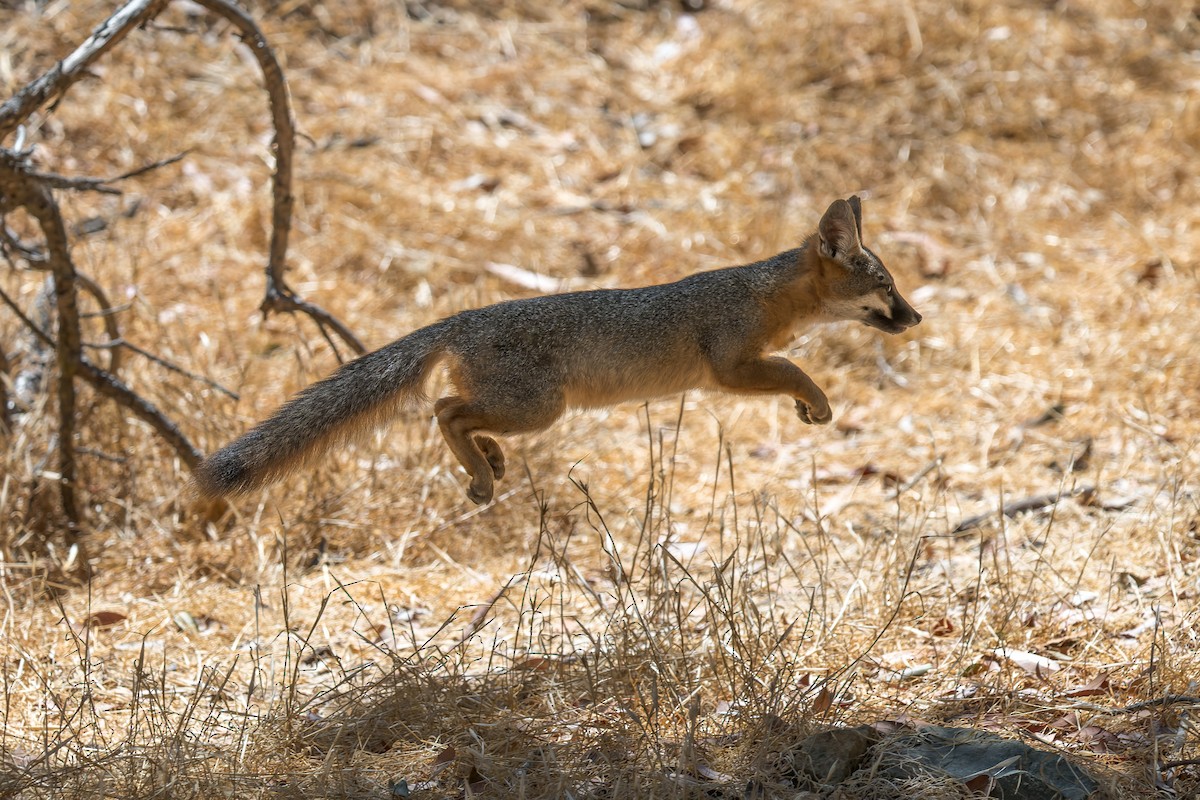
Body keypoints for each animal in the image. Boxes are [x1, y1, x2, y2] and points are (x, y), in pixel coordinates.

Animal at [194, 196, 921, 505]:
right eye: (887, 288)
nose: (916, 317)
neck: (763, 295)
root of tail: (459, 319)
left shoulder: (741, 367)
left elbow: (793, 365)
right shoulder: (730, 367)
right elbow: (796, 368)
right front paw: (817, 403)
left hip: (528, 409)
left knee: (453, 411)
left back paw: (486, 463)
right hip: (542, 409)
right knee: (446, 410)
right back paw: (483, 471)